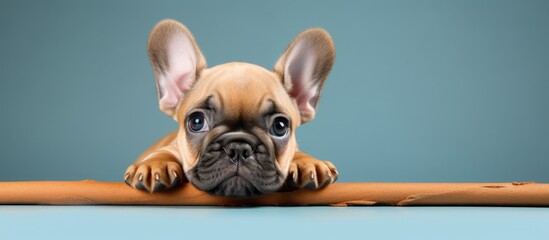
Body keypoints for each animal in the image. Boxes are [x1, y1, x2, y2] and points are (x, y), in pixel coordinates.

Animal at [123, 19, 336, 197]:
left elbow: (298, 152)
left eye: (280, 126)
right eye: (197, 122)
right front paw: (153, 166)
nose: (239, 148)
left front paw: (307, 163)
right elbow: (164, 152)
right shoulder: (173, 146)